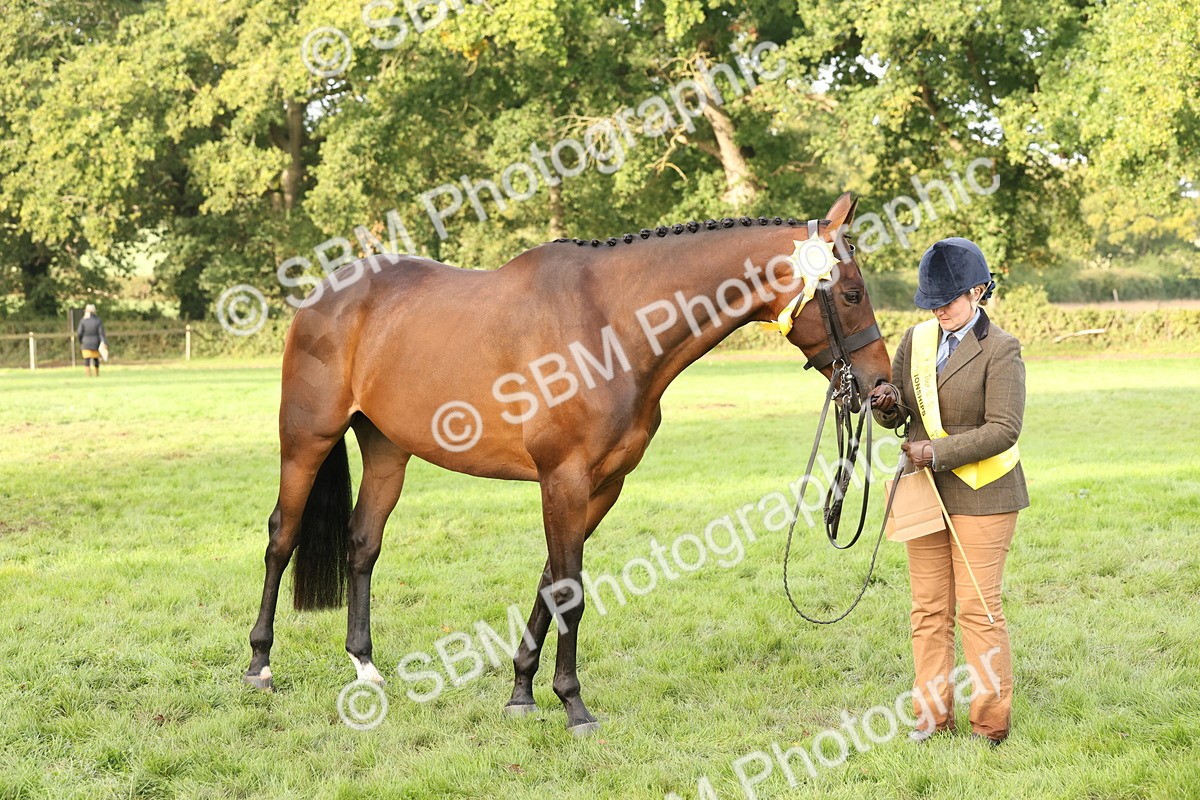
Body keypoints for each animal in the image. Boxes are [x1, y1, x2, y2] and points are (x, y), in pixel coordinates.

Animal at [243, 192, 892, 735]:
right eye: (852, 294)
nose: (882, 390)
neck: (610, 326)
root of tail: (324, 295)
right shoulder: (564, 479)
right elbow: (569, 589)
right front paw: (574, 704)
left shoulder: (601, 486)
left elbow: (551, 582)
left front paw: (522, 692)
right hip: (306, 439)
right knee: (282, 536)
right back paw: (259, 665)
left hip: (386, 449)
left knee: (362, 543)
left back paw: (365, 667)